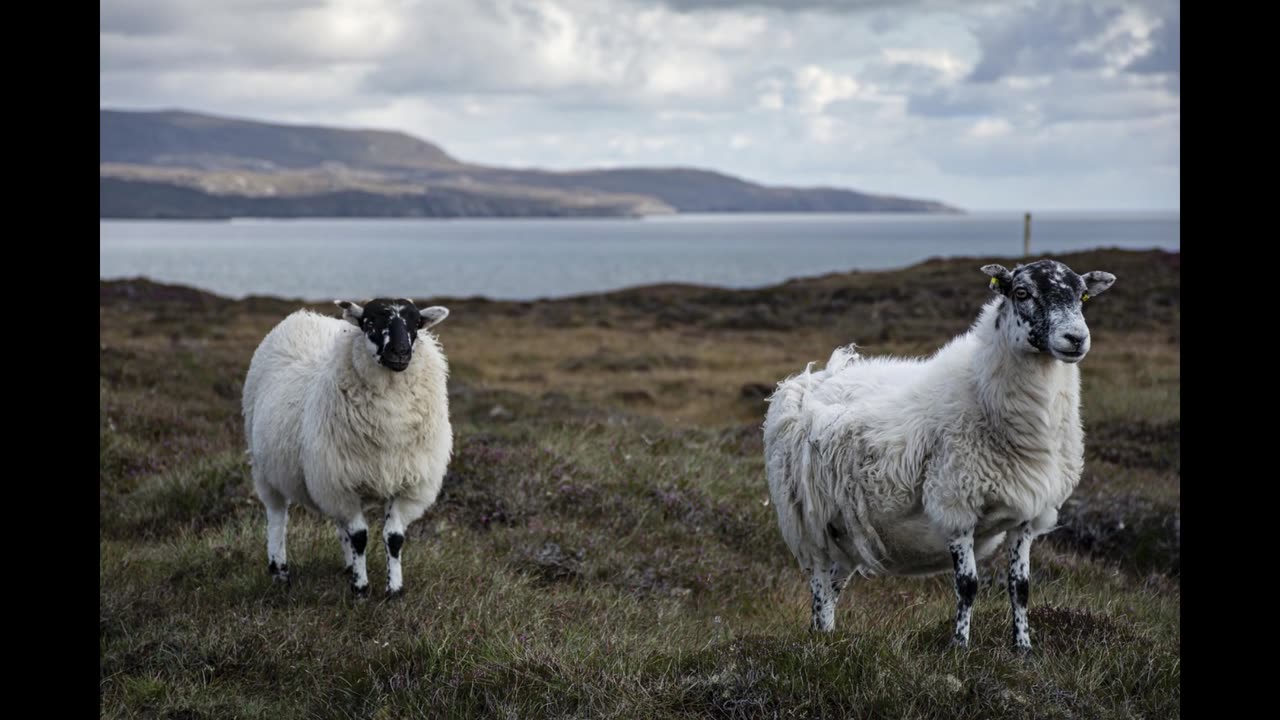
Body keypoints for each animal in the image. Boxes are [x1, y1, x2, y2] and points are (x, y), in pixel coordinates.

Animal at [241, 295, 453, 594]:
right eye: (371, 322)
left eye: (416, 324)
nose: (400, 353)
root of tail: (303, 316)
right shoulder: (343, 484)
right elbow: (360, 537)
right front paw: (361, 588)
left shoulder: (406, 485)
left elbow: (394, 538)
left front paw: (394, 590)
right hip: (266, 468)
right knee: (277, 517)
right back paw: (279, 570)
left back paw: (347, 566)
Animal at [762, 257, 1116, 650]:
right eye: (1022, 292)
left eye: (1082, 295)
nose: (1076, 338)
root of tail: (811, 378)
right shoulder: (956, 504)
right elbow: (968, 585)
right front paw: (959, 647)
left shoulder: (1028, 514)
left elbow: (1020, 588)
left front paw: (1023, 648)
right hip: (810, 521)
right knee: (821, 584)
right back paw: (821, 643)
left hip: (846, 531)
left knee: (833, 585)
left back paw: (826, 637)